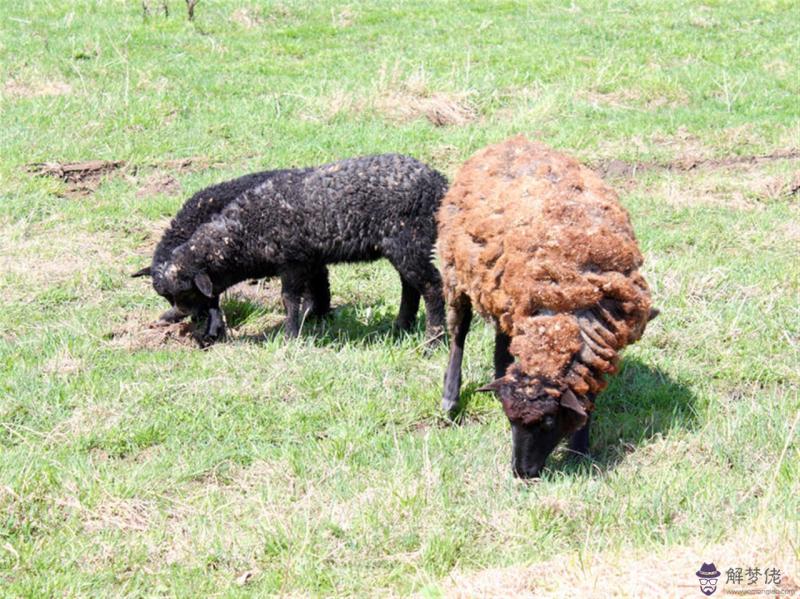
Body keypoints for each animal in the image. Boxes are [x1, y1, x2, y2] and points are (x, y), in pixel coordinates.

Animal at [440, 136, 652, 478]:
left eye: (549, 422)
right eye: (509, 419)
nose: (522, 473)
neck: (563, 319)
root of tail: (511, 140)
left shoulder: (600, 343)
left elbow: (587, 392)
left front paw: (580, 450)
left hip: (501, 293)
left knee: (501, 340)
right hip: (454, 270)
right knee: (459, 331)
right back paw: (450, 398)